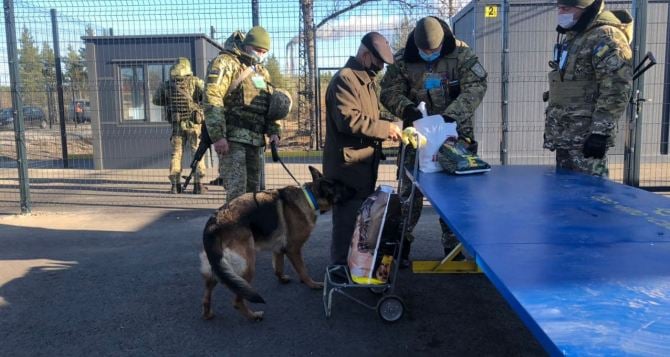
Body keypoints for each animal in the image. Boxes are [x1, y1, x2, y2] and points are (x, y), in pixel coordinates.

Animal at [200, 166, 356, 320]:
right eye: (344, 187)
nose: (357, 190)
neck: (309, 197)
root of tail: (214, 224)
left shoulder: (279, 249)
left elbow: (278, 267)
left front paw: (282, 279)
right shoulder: (293, 249)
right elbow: (303, 270)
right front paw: (312, 284)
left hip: (219, 266)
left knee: (208, 291)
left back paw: (207, 313)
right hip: (248, 265)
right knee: (237, 300)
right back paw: (253, 315)